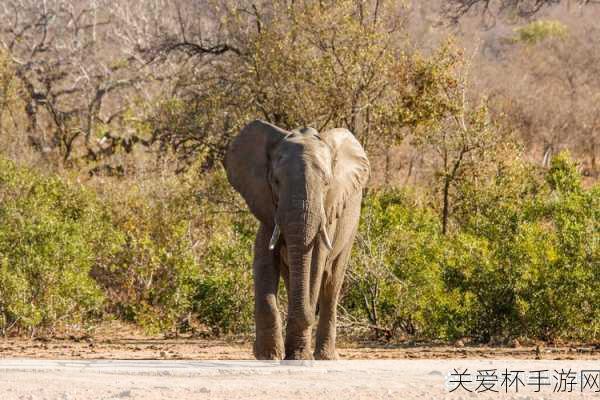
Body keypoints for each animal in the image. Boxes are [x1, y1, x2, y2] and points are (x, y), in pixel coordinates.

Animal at [224, 119, 368, 360]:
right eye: (275, 181)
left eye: (327, 183)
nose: (252, 347)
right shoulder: (267, 208)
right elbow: (264, 261)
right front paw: (268, 356)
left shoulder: (328, 211)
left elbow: (315, 265)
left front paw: (298, 357)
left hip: (350, 229)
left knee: (331, 284)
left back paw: (324, 356)